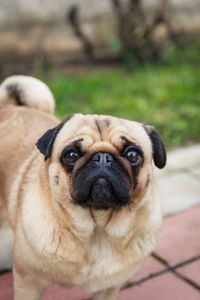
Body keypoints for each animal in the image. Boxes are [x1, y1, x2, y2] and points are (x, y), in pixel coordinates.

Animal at [0, 75, 166, 300]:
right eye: (71, 155)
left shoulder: (108, 288)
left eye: (133, 155)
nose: (103, 157)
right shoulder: (28, 283)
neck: (97, 232)